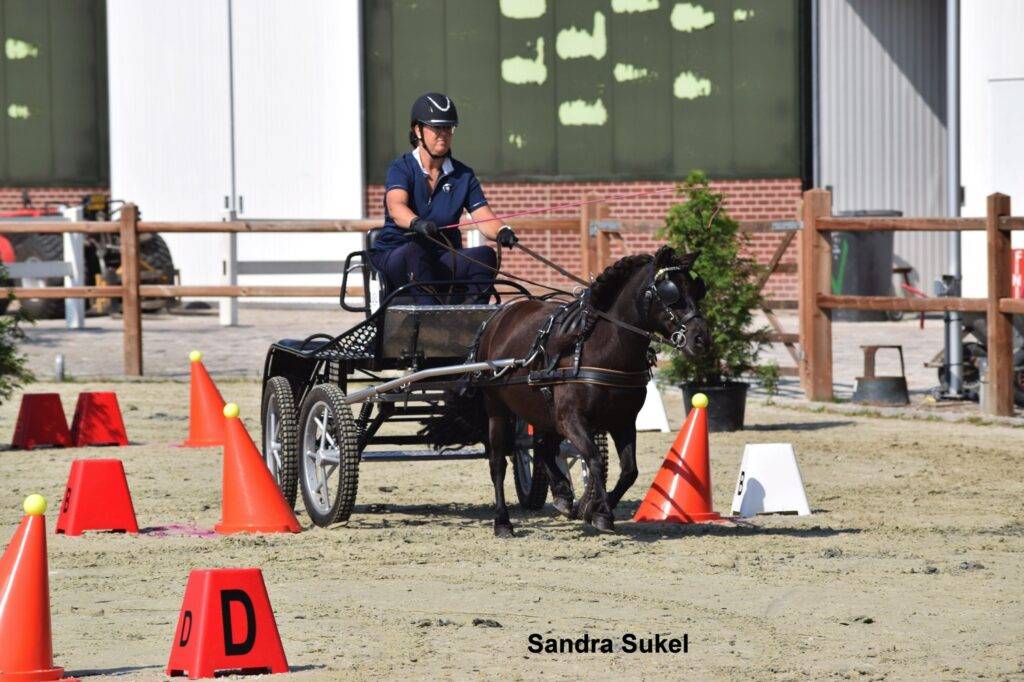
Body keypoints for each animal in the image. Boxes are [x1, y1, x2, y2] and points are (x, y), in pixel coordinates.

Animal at [473, 245, 711, 536]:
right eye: (670, 292)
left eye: (697, 290)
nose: (702, 339)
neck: (600, 349)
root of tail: (500, 315)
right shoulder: (572, 420)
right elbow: (595, 460)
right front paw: (602, 513)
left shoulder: (622, 421)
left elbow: (629, 470)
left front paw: (593, 507)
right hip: (498, 407)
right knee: (498, 463)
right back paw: (503, 521)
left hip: (544, 412)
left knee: (542, 448)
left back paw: (563, 494)